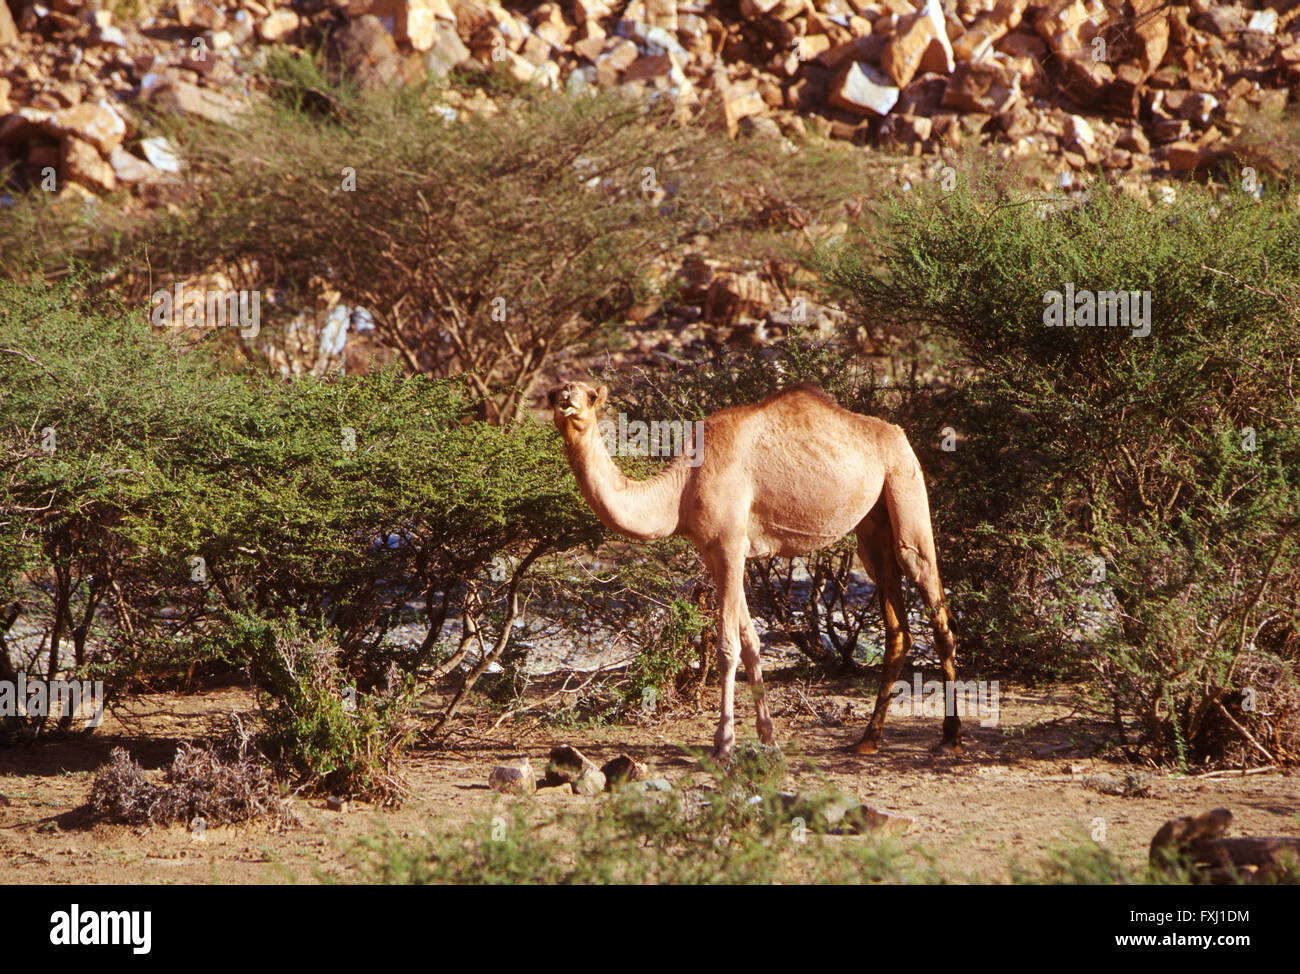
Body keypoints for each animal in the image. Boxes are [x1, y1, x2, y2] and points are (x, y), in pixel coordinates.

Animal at [543, 379, 961, 759]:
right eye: (555, 391)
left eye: (590, 394)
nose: (566, 397)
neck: (683, 487)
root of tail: (899, 434)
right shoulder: (716, 552)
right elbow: (750, 641)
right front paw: (768, 738)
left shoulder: (729, 546)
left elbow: (727, 646)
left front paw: (724, 745)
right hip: (873, 529)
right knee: (898, 626)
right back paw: (868, 740)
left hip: (905, 484)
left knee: (936, 604)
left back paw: (950, 737)